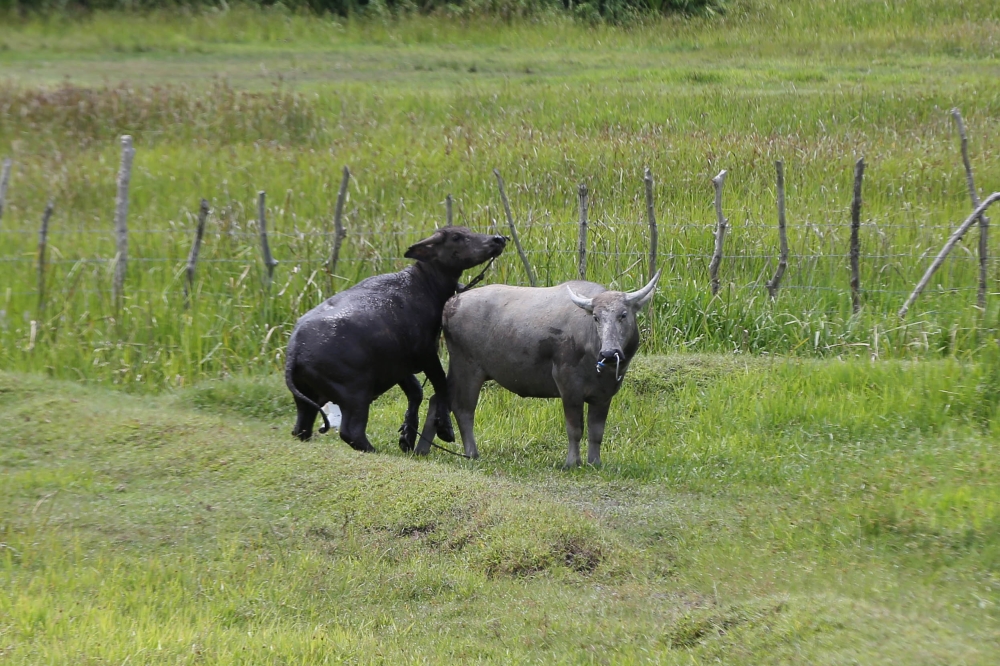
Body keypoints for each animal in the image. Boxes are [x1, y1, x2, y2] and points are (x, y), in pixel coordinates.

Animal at [285, 226, 507, 452]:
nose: (497, 239)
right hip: (355, 393)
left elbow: (416, 391)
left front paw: (408, 435)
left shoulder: (401, 364)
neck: (424, 286)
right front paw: (444, 428)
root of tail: (295, 350)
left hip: (307, 400)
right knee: (351, 431)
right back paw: (373, 450)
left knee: (301, 429)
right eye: (456, 237)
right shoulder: (427, 354)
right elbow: (441, 384)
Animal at [416, 271, 660, 467]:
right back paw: (472, 453)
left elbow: (596, 431)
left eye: (623, 315)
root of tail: (451, 302)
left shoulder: (603, 395)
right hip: (467, 368)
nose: (609, 353)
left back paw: (421, 448)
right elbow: (575, 428)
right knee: (463, 408)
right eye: (596, 317)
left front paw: (595, 462)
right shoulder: (569, 387)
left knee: (438, 399)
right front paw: (572, 462)